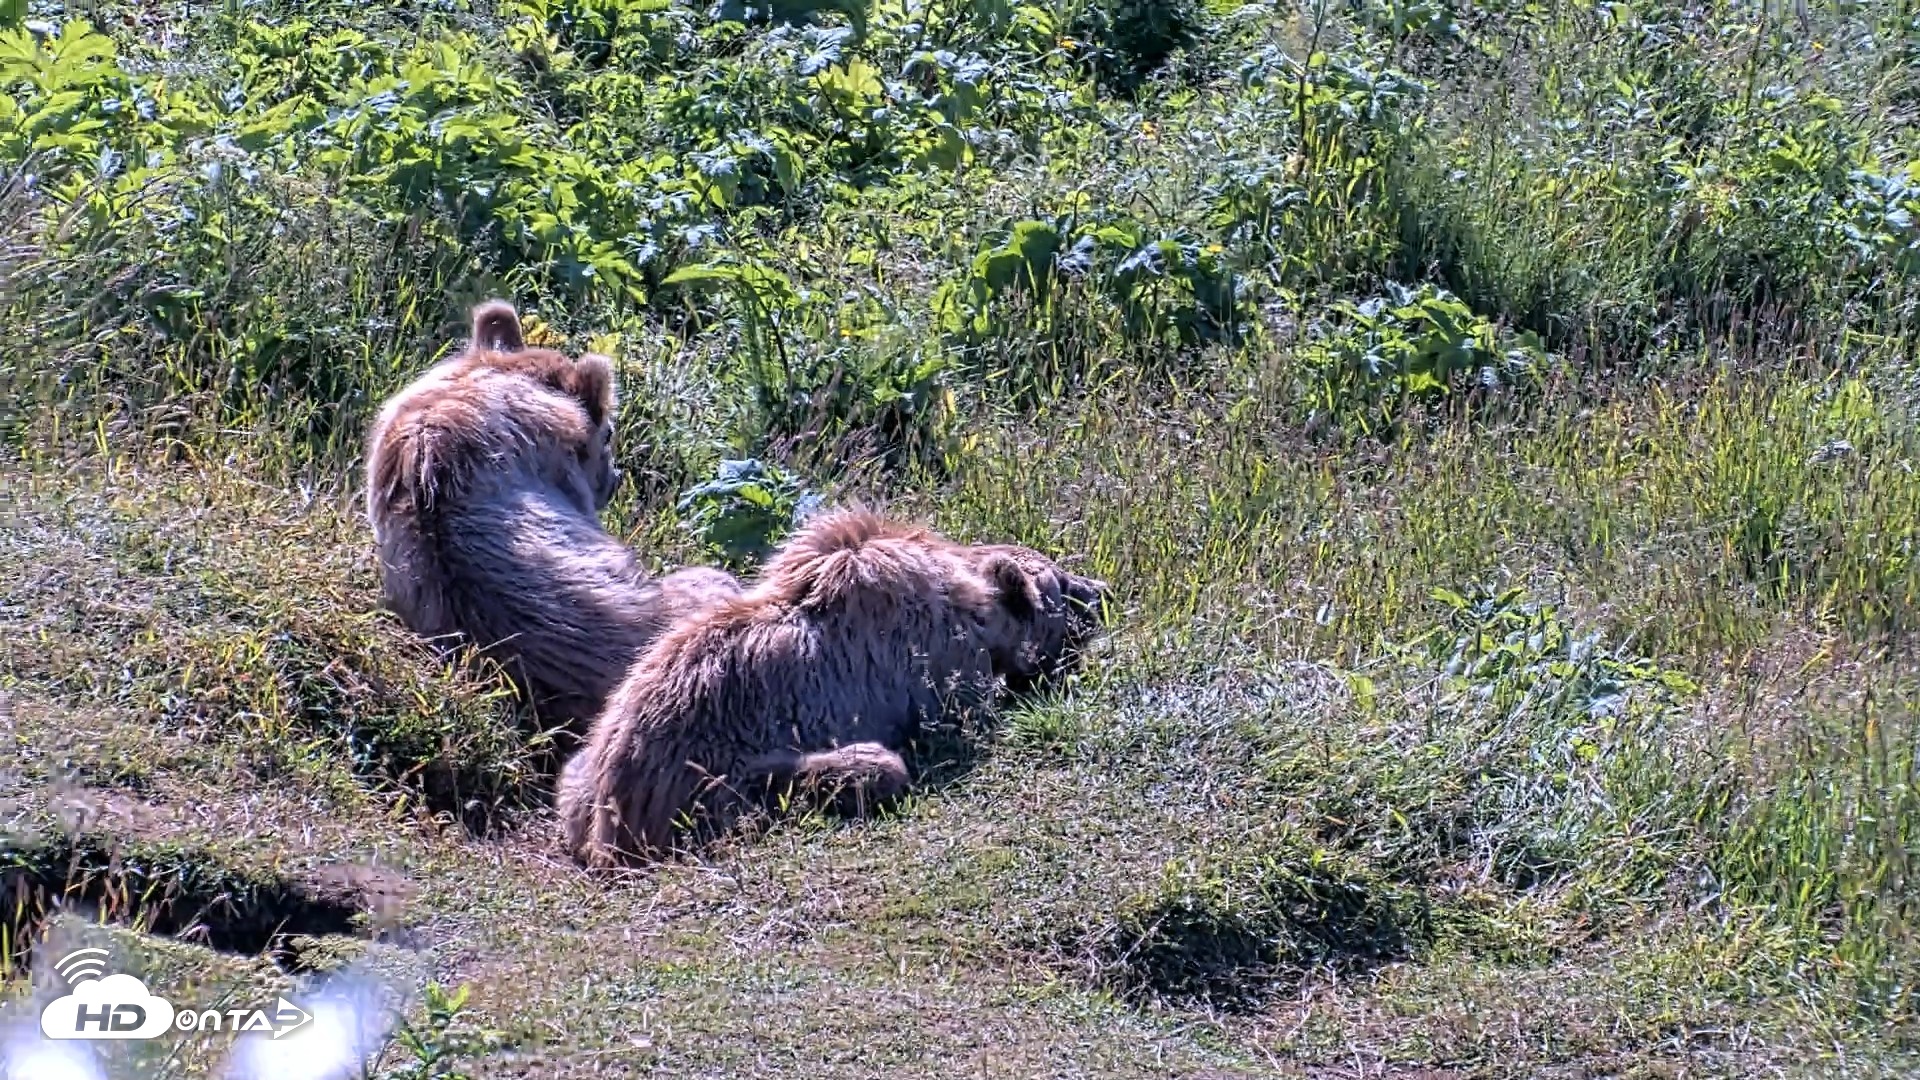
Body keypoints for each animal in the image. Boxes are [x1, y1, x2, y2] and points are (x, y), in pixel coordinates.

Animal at [555, 508, 1111, 868]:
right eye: (1062, 582)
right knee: (863, 767)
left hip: (587, 764)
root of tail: (610, 821)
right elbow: (966, 716)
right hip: (710, 784)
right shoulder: (938, 665)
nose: (1101, 592)